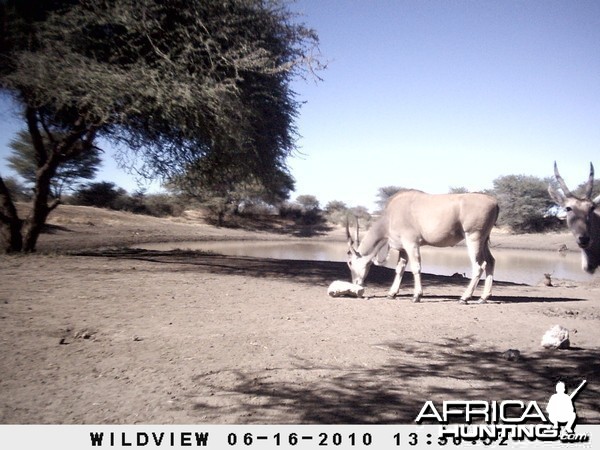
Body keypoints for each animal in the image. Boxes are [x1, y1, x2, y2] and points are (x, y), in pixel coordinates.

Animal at [346, 189, 496, 302]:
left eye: (350, 263)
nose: (356, 284)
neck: (389, 217)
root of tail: (494, 202)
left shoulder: (411, 243)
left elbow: (416, 268)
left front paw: (417, 295)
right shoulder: (403, 249)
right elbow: (399, 269)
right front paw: (391, 293)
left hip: (473, 238)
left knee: (479, 266)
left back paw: (464, 298)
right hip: (483, 241)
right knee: (490, 262)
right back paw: (483, 298)